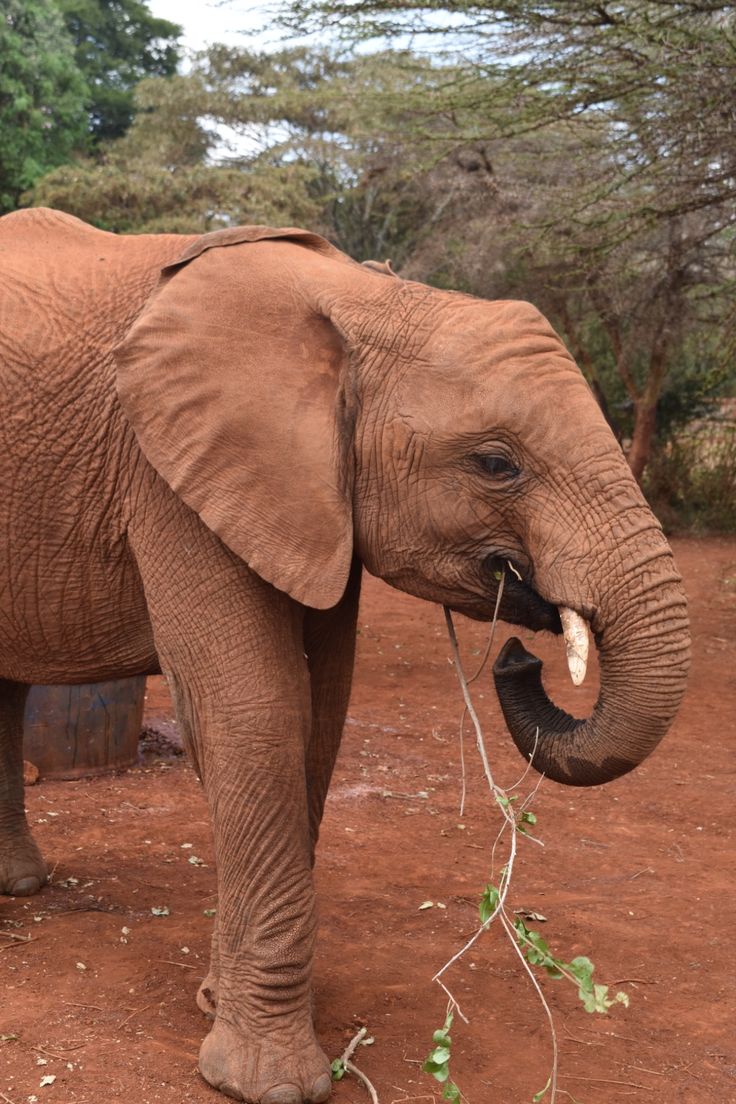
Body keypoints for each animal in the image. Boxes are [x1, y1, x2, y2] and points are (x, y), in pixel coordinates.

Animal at [0, 208, 689, 1104]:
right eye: (496, 464)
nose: (516, 657)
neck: (367, 300)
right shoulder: (167, 474)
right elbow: (255, 709)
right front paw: (268, 1083)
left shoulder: (310, 494)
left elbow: (318, 711)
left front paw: (218, 1002)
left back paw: (18, 886)